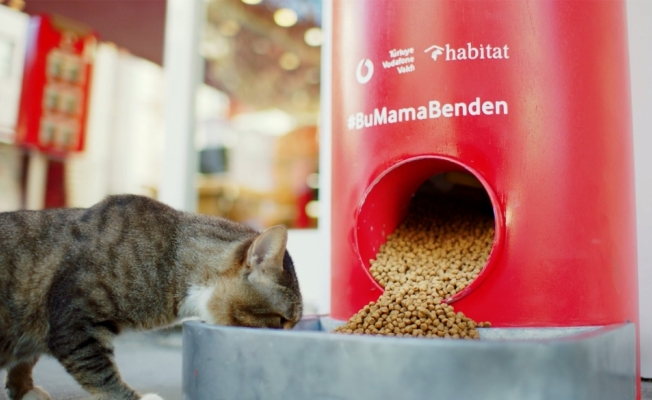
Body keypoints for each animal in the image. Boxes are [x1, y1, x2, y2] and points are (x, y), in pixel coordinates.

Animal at [0, 195, 300, 398]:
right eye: (282, 320)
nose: (289, 337)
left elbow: (27, 359)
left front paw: (22, 389)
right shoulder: (72, 322)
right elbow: (99, 371)